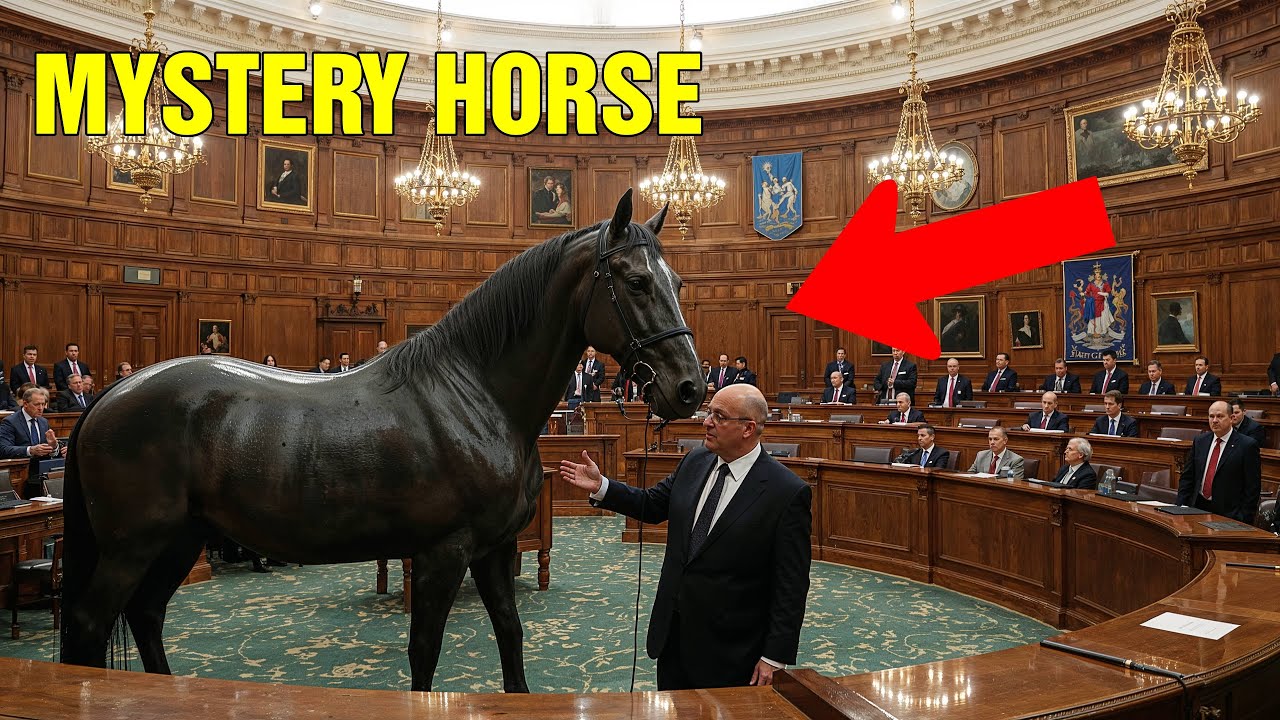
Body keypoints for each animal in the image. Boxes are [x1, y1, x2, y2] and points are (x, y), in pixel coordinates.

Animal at [58, 190, 705, 692]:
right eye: (637, 282)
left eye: (677, 282)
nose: (689, 388)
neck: (476, 393)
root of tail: (108, 398)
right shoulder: (443, 553)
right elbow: (424, 655)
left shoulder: (495, 549)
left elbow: (511, 636)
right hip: (133, 546)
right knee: (92, 624)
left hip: (179, 539)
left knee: (145, 615)